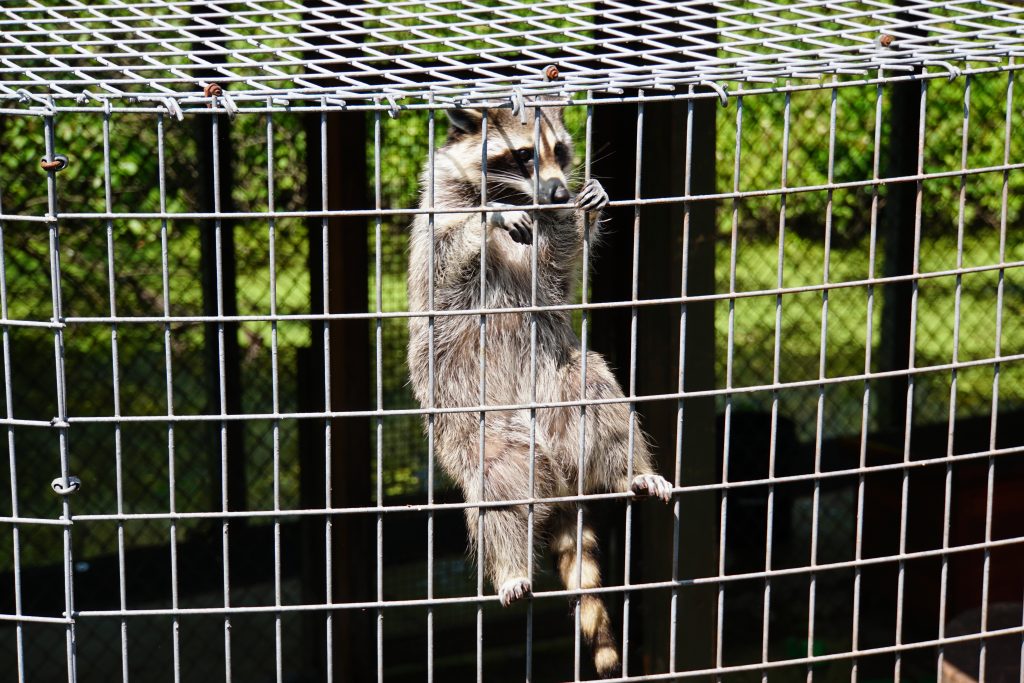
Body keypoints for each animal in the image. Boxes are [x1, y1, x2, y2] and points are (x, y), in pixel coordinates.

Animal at [406, 104, 672, 678]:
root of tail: (558, 477)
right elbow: (443, 262)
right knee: (497, 486)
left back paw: (633, 470)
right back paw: (511, 568)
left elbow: (556, 266)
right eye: (525, 154)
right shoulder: (435, 214)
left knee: (597, 394)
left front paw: (583, 207)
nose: (556, 192)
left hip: (559, 383)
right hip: (477, 424)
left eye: (561, 150)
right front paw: (488, 220)